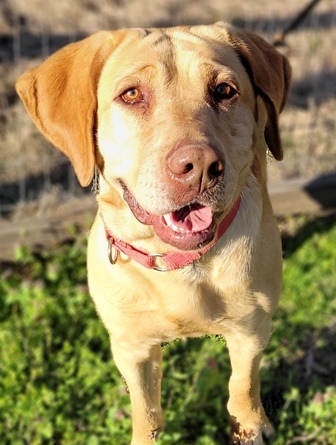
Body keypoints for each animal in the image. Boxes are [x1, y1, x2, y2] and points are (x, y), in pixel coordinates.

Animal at [17, 22, 292, 442]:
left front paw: (251, 426)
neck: (178, 264)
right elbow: (145, 411)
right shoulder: (132, 348)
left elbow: (242, 386)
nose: (199, 166)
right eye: (131, 94)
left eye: (224, 91)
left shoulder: (252, 329)